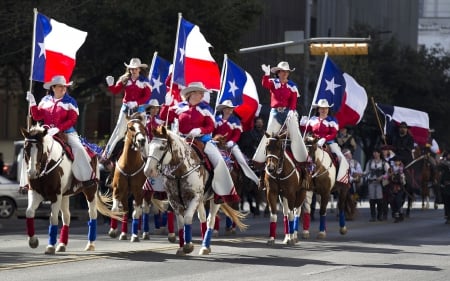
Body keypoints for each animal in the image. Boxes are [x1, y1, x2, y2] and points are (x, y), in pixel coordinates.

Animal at [20, 124, 119, 254]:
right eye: (26, 148)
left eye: (40, 149)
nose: (31, 173)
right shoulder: (35, 193)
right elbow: (29, 212)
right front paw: (33, 241)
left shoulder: (55, 195)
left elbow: (53, 218)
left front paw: (50, 246)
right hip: (65, 196)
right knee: (66, 216)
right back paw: (62, 244)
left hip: (90, 190)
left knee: (92, 214)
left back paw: (90, 244)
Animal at [108, 112, 150, 242]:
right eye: (131, 128)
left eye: (143, 128)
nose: (141, 140)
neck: (129, 164)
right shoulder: (118, 189)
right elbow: (117, 210)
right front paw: (115, 231)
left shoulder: (139, 191)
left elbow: (136, 213)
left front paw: (135, 235)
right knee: (128, 209)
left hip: (147, 193)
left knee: (144, 210)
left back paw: (144, 233)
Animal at [144, 126, 248, 255]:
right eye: (150, 146)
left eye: (162, 148)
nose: (148, 171)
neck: (180, 172)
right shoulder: (174, 200)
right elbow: (180, 223)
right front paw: (181, 247)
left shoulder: (195, 197)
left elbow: (188, 218)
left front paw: (188, 246)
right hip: (201, 201)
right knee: (202, 218)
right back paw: (204, 244)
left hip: (214, 199)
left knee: (210, 220)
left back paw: (205, 247)